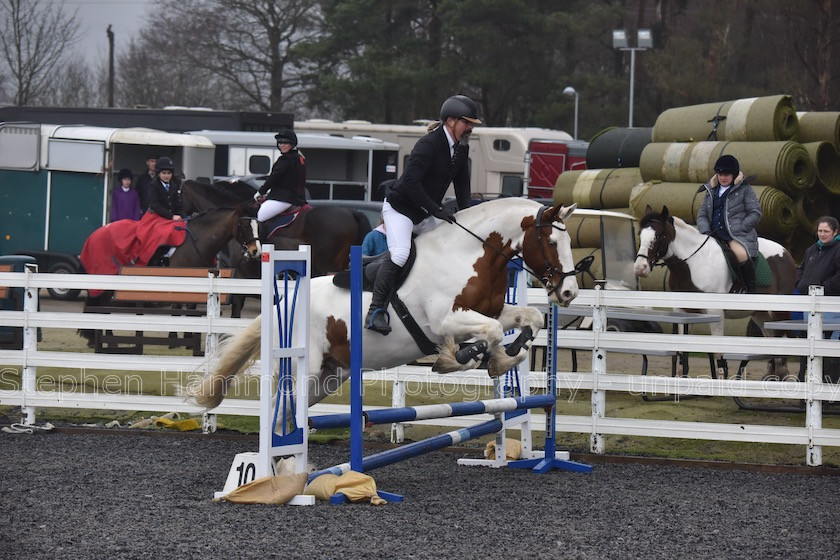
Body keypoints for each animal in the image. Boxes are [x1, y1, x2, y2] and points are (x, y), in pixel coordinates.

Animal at [185, 199, 580, 410]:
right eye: (549, 241)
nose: (569, 293)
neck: (469, 255)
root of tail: (281, 303)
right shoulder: (445, 321)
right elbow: (492, 331)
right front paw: (460, 357)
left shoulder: (491, 309)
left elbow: (528, 319)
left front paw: (503, 358)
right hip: (305, 368)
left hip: (329, 376)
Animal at [632, 203, 796, 378]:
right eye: (640, 234)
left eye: (659, 236)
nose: (640, 268)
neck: (693, 263)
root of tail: (785, 252)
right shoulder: (683, 312)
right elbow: (682, 348)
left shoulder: (715, 312)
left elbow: (718, 350)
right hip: (760, 314)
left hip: (778, 312)